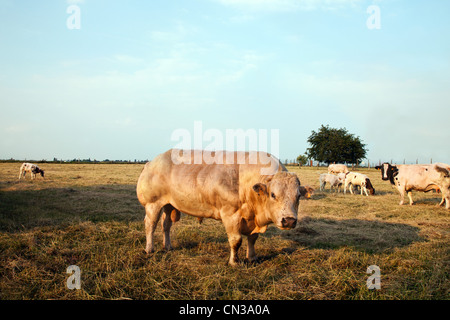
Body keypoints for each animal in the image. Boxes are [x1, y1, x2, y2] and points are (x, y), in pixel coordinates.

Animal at [135, 149, 300, 264]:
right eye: (273, 194)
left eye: (298, 196)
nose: (289, 221)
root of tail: (151, 162)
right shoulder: (230, 215)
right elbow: (236, 241)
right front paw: (234, 262)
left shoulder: (252, 219)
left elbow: (252, 239)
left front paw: (252, 258)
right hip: (153, 204)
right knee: (150, 225)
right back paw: (149, 248)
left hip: (169, 205)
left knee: (166, 225)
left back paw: (168, 246)